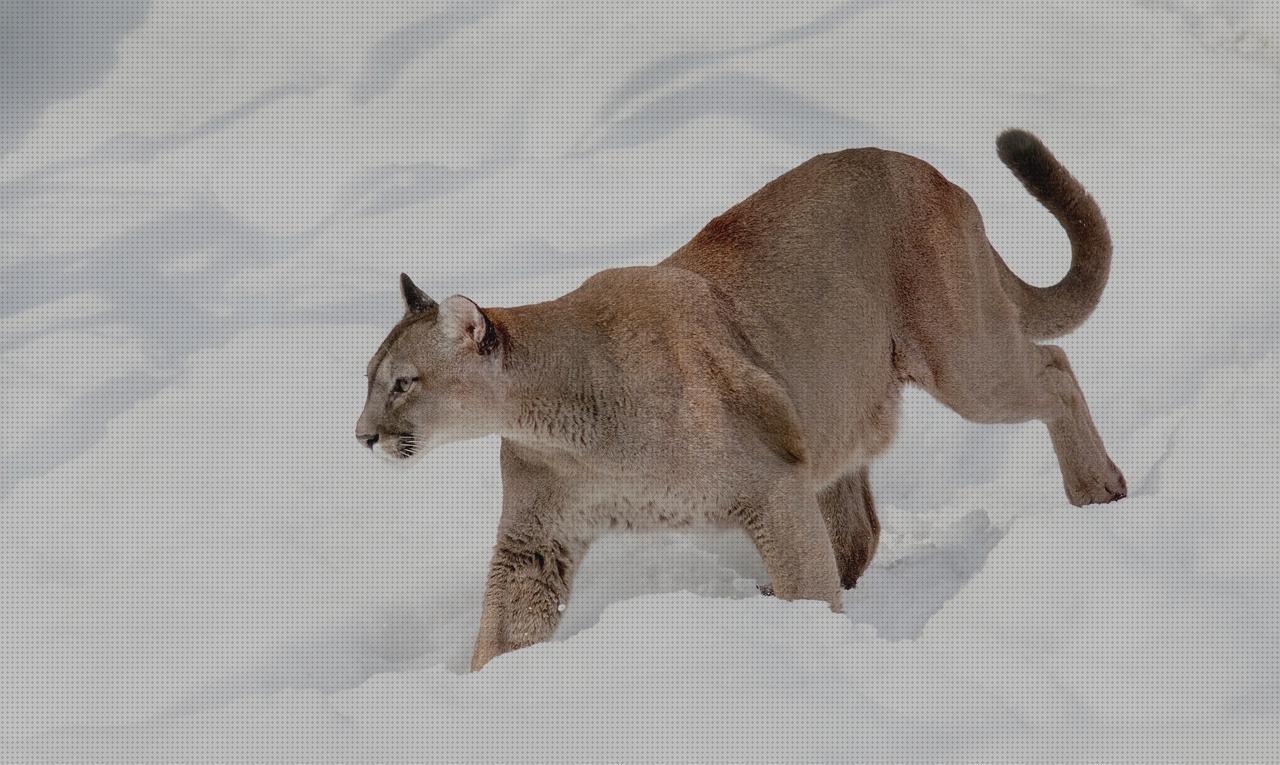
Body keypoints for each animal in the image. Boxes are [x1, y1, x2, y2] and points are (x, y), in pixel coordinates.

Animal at [355, 131, 1126, 670]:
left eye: (402, 382)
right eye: (367, 377)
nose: (361, 435)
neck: (559, 420)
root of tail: (934, 174)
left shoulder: (770, 484)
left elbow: (806, 574)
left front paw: (817, 652)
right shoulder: (534, 541)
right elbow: (502, 632)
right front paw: (481, 693)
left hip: (960, 359)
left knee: (1054, 368)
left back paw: (1098, 489)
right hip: (835, 412)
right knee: (858, 526)